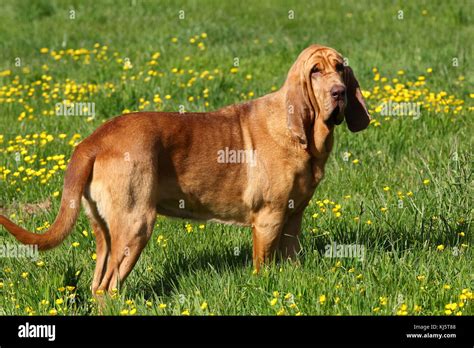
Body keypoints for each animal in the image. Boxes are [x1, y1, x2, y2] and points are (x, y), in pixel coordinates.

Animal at [0, 44, 370, 294]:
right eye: (315, 71)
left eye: (340, 68)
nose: (339, 93)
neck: (302, 132)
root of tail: (93, 141)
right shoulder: (268, 218)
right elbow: (262, 266)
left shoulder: (293, 217)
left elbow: (291, 258)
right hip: (136, 225)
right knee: (108, 287)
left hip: (106, 231)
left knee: (97, 284)